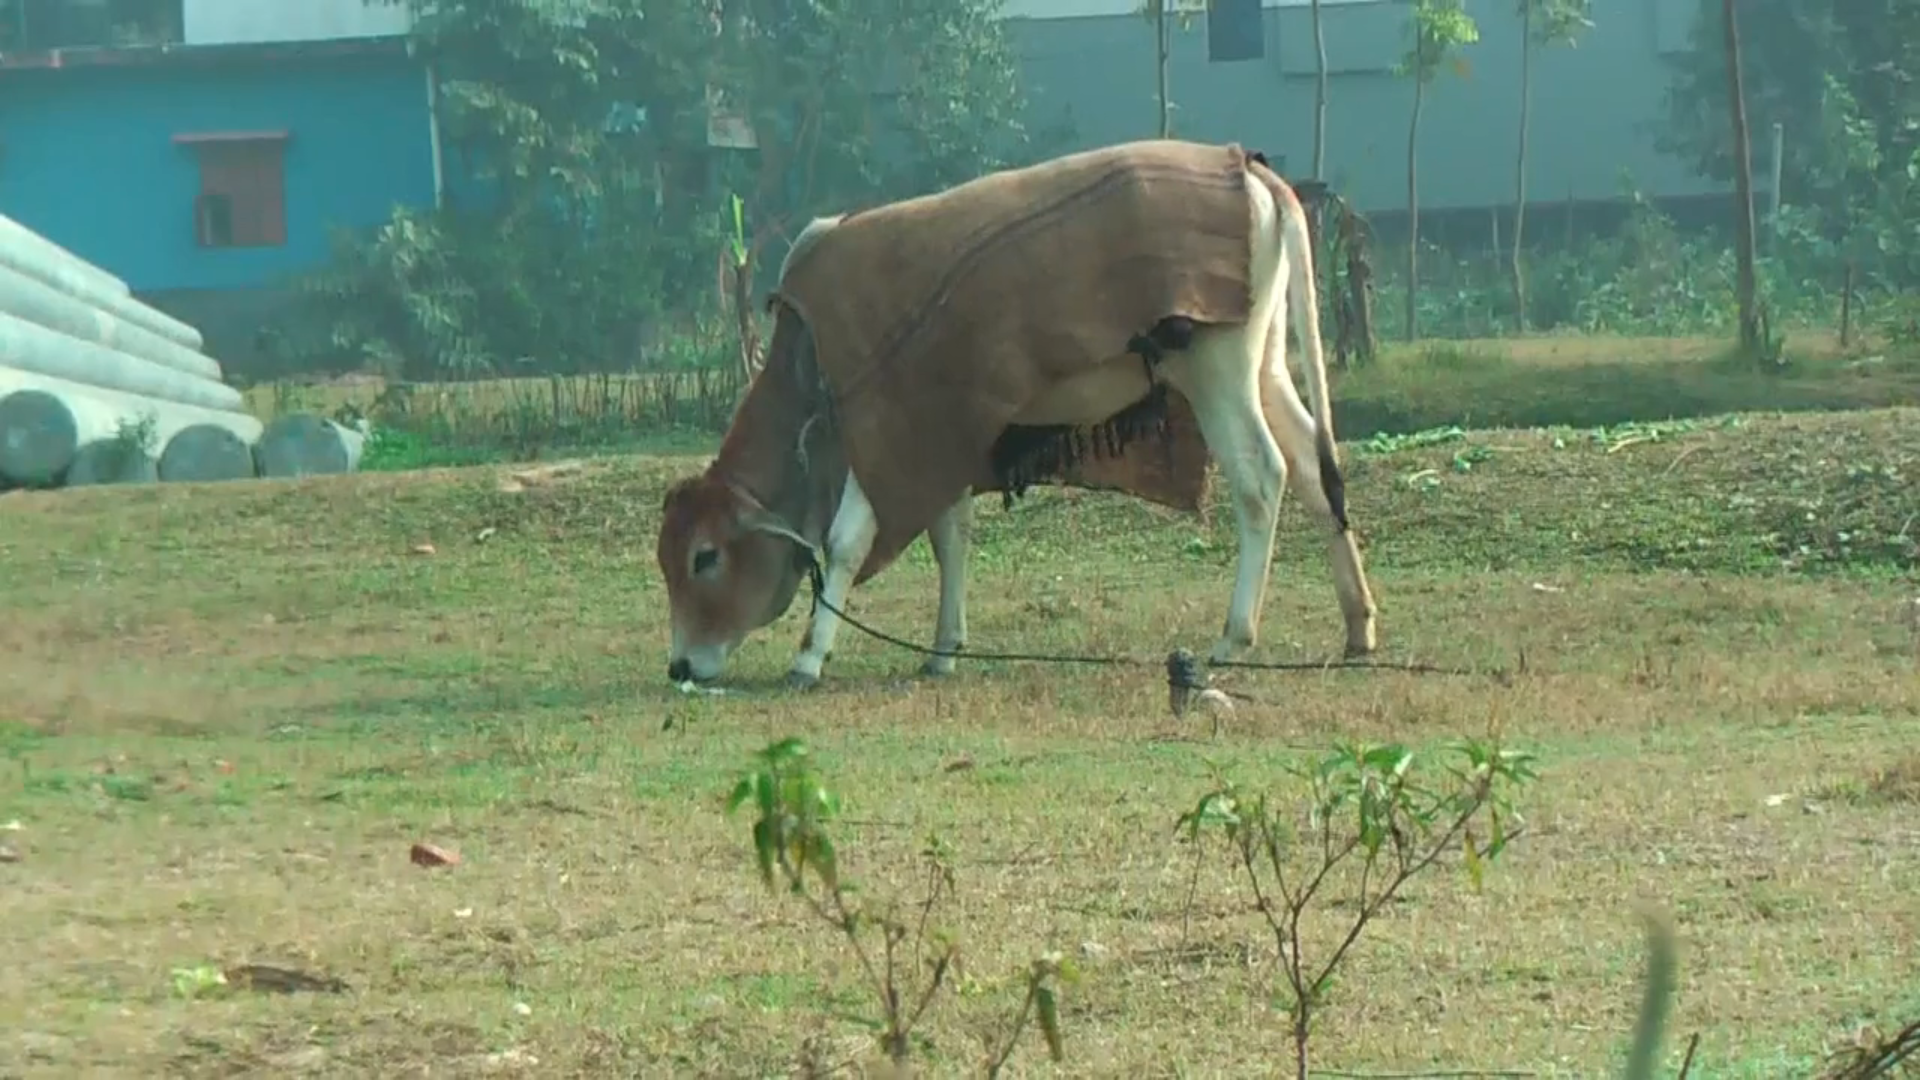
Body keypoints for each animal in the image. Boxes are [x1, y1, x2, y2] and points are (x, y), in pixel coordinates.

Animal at [660, 141, 1382, 680]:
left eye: (704, 558)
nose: (681, 666)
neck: (806, 356)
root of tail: (1251, 169)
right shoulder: (935, 428)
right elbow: (951, 535)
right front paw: (943, 649)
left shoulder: (877, 427)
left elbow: (844, 543)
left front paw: (810, 655)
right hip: (1265, 365)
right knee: (1314, 467)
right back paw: (1358, 626)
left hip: (1216, 369)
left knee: (1262, 477)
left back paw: (1235, 636)